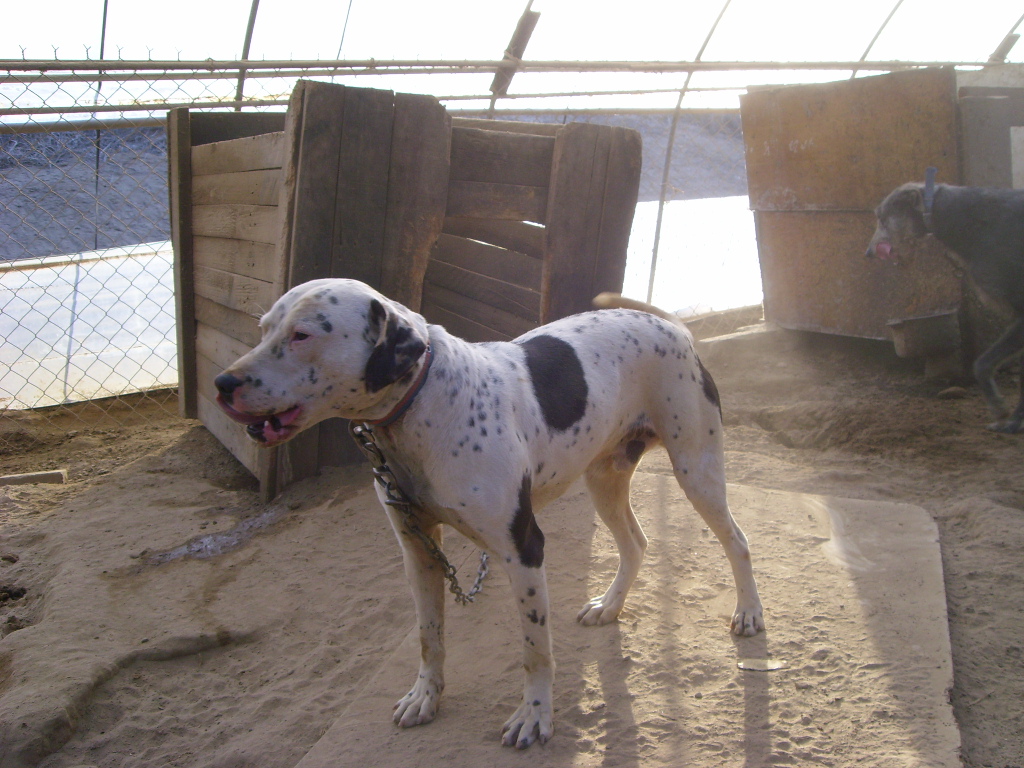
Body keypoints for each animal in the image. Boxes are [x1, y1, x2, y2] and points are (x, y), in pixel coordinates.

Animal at [213, 278, 764, 748]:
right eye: (264, 328)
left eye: (302, 334)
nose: (221, 382)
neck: (424, 405)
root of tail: (676, 327)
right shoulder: (418, 552)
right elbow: (429, 638)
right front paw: (426, 697)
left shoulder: (523, 550)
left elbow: (535, 651)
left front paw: (535, 716)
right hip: (604, 478)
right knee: (636, 543)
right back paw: (609, 606)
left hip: (696, 472)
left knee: (738, 541)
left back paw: (749, 613)